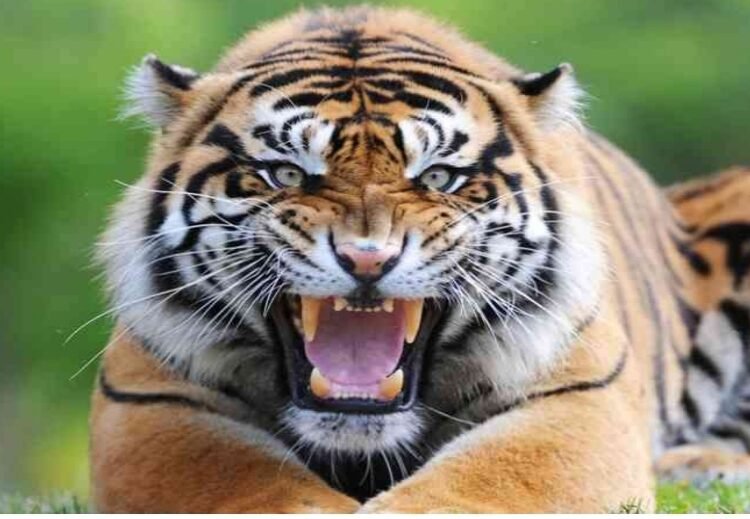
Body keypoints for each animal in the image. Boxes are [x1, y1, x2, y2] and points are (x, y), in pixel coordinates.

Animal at [89, 5, 750, 513]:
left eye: (436, 177)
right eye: (286, 174)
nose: (366, 259)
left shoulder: (574, 396)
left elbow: (490, 481)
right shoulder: (154, 402)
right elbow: (254, 487)